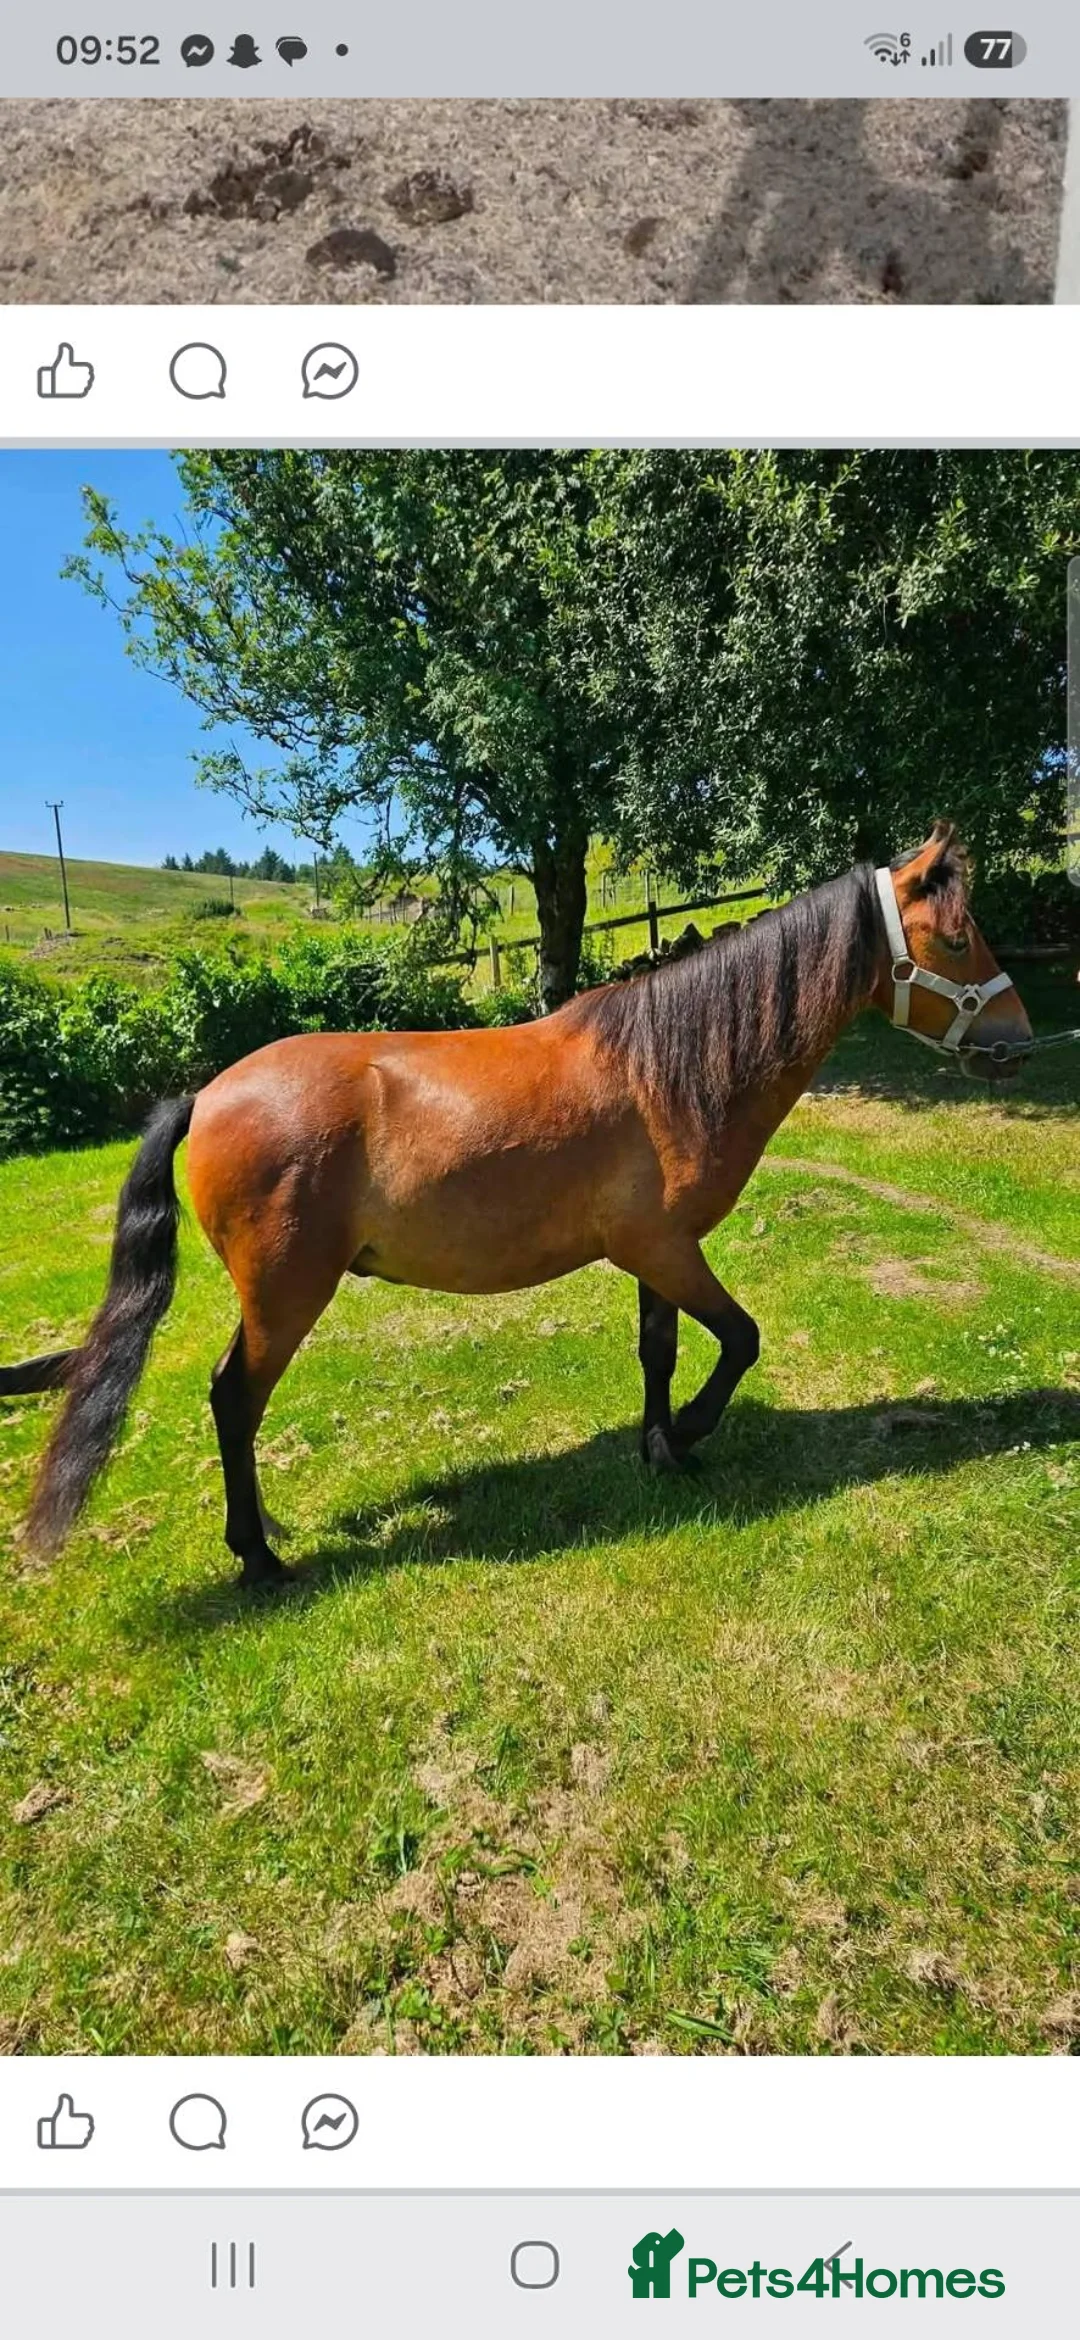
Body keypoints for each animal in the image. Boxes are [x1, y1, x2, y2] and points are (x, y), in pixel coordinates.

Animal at [1, 822, 1032, 1589]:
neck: (669, 1067)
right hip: (285, 1296)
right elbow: (741, 1340)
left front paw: (665, 1449)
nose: (1018, 1041)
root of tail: (209, 1094)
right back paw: (258, 1559)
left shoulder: (657, 1253)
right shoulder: (667, 1251)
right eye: (954, 936)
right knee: (232, 1398)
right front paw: (695, 1431)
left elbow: (660, 1352)